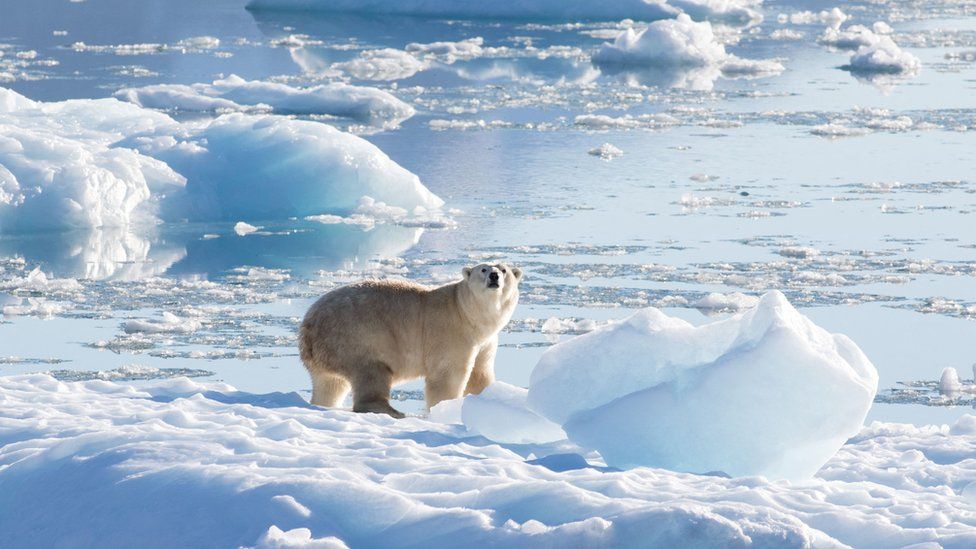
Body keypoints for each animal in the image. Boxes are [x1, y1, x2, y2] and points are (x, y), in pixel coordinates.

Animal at [302, 264, 524, 418]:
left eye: (504, 269)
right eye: (483, 269)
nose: (494, 276)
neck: (467, 312)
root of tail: (308, 326)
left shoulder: (486, 342)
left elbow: (480, 374)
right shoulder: (451, 332)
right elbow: (447, 375)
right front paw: (446, 409)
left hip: (329, 351)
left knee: (330, 384)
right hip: (357, 336)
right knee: (371, 372)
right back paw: (392, 411)